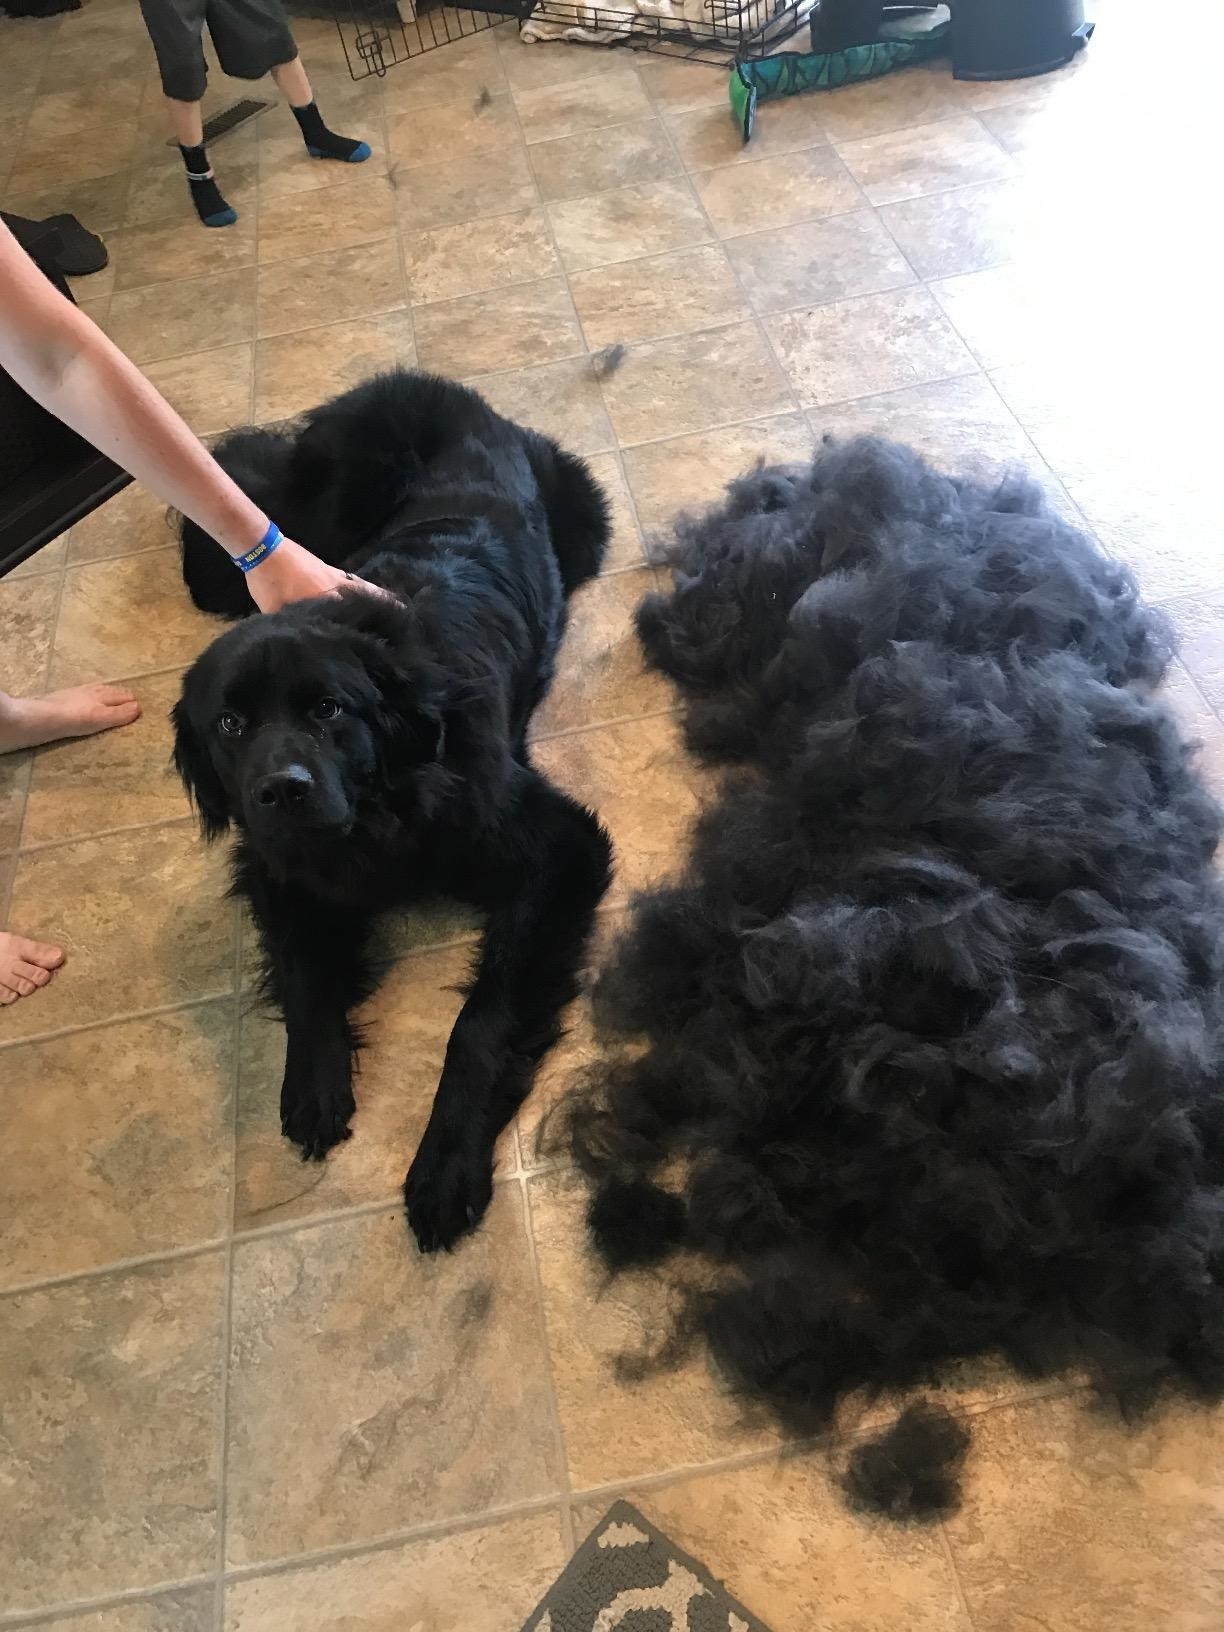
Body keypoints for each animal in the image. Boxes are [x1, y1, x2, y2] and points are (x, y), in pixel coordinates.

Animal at [172, 373, 613, 1246]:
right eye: (230, 723)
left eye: (328, 708)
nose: (282, 790)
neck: (386, 806)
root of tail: (436, 383)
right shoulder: (277, 863)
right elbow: (304, 969)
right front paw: (313, 1080)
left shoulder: (559, 849)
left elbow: (480, 1022)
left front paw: (446, 1162)